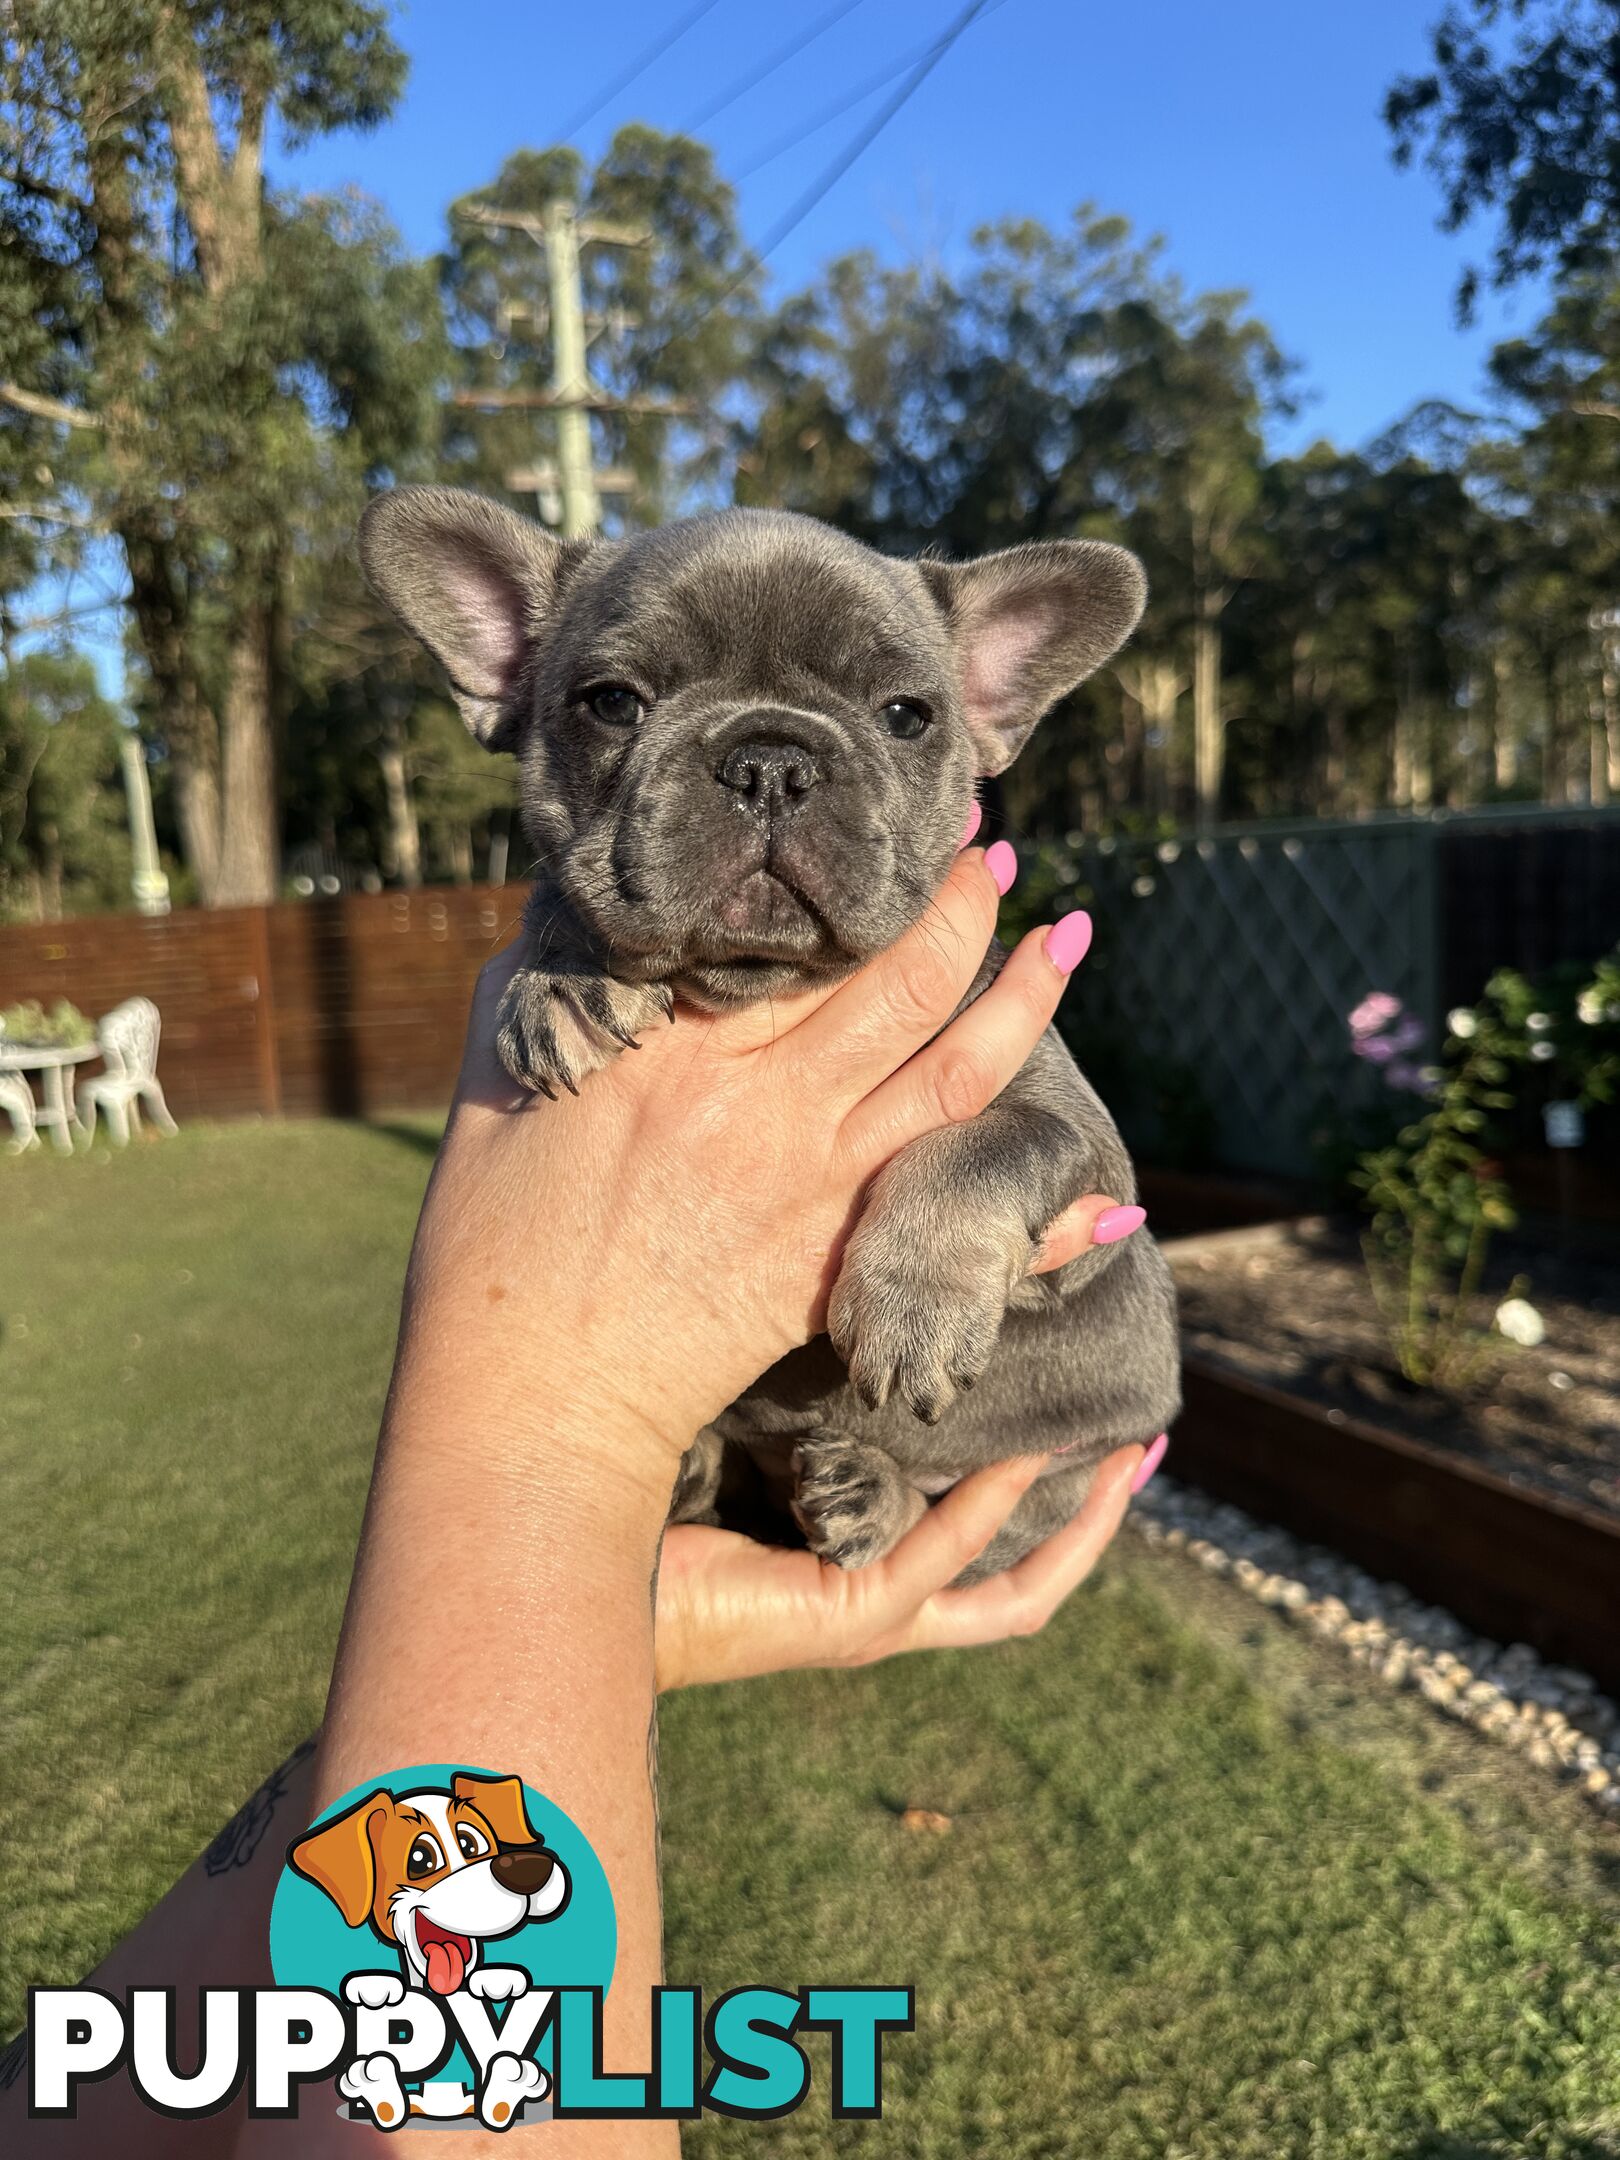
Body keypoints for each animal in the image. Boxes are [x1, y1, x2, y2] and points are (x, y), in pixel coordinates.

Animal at [365, 490, 1183, 1581]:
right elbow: (564, 892)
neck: (763, 984)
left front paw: (915, 1296)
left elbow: (990, 1140)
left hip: (1080, 1470)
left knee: (975, 1527)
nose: (770, 763)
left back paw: (871, 1493)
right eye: (612, 703)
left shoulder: (1085, 1150)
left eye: (906, 716)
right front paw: (565, 977)